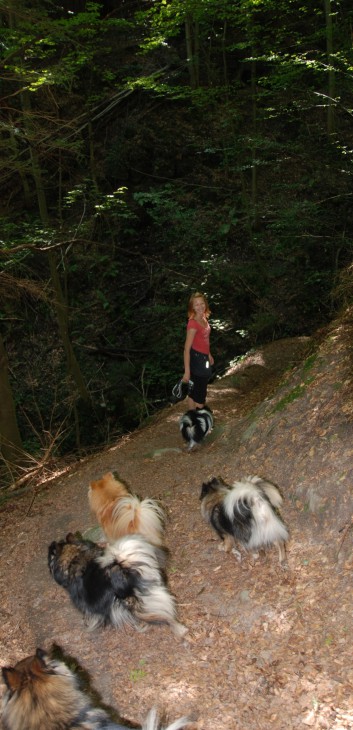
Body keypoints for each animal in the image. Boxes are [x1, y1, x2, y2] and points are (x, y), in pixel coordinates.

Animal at [49, 528, 188, 636]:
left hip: (135, 605)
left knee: (161, 617)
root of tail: (124, 567)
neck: (76, 557)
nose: (52, 543)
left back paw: (178, 628)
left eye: (51, 554)